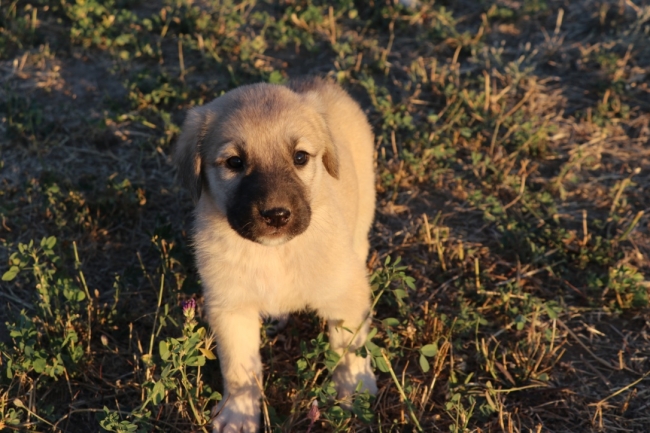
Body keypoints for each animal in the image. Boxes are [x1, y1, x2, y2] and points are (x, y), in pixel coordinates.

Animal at [175, 78, 378, 432]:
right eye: (235, 162)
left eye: (300, 157)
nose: (276, 215)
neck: (275, 255)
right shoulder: (231, 308)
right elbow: (240, 369)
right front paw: (239, 413)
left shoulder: (345, 296)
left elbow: (348, 347)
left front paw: (354, 387)